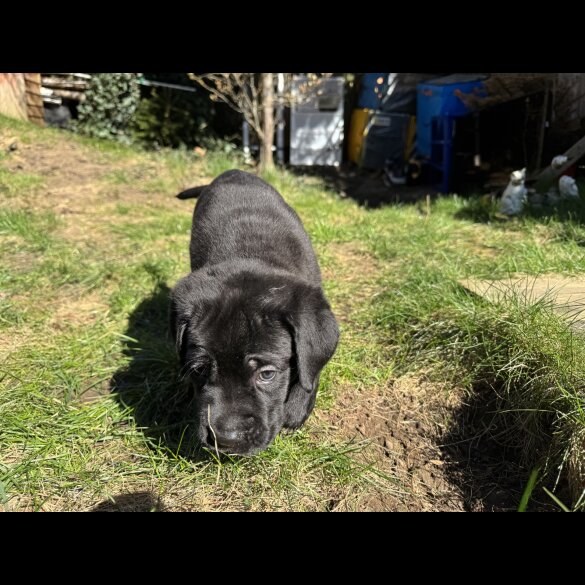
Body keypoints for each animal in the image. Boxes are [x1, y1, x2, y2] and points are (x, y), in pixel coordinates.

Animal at [170, 170, 338, 456]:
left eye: (267, 374)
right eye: (199, 369)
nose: (226, 439)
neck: (250, 256)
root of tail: (231, 171)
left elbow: (311, 369)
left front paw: (296, 408)